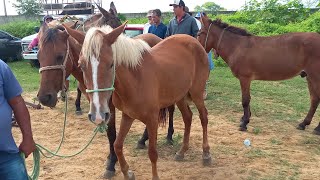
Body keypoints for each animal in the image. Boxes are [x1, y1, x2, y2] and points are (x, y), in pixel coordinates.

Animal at [78, 23, 211, 179]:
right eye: (81, 65)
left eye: (111, 64)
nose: (98, 115)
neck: (136, 80)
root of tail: (195, 41)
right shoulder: (128, 115)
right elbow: (117, 145)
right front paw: (127, 172)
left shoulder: (152, 119)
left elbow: (152, 153)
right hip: (179, 95)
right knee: (188, 117)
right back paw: (182, 152)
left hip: (197, 93)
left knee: (203, 117)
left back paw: (206, 154)